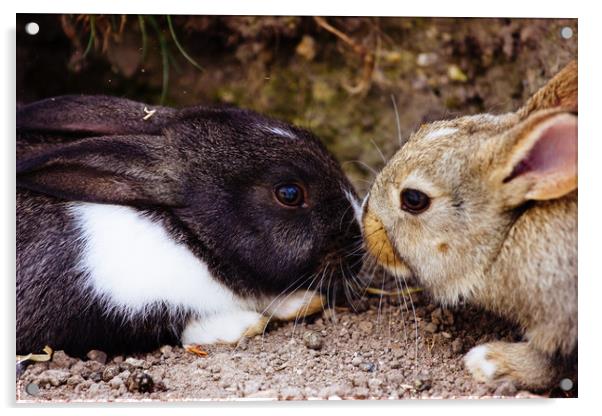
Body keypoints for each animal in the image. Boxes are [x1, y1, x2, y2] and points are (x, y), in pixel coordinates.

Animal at [360, 61, 576, 390]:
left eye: (414, 199)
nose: (365, 219)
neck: (505, 239)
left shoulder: (558, 316)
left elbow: (548, 363)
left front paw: (488, 362)